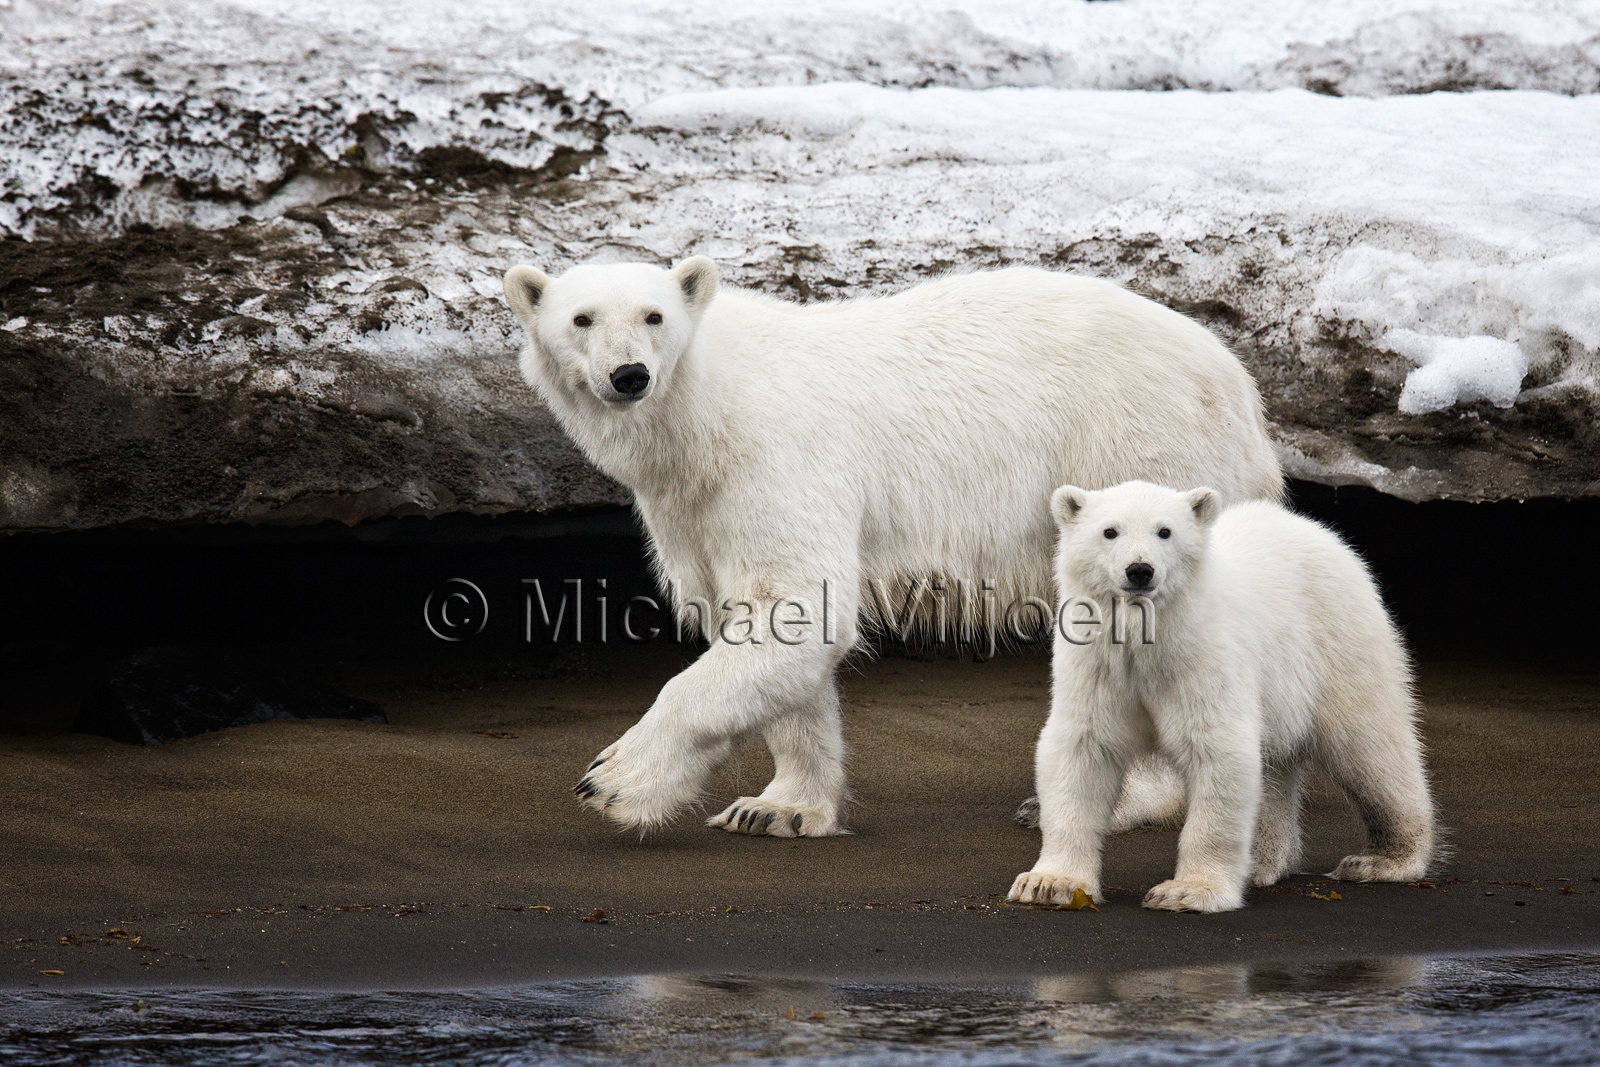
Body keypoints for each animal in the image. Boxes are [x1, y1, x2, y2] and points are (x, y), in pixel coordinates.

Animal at [501, 258, 1284, 837]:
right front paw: (777, 807)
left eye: (653, 316)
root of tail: (1242, 387)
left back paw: (1112, 801)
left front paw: (613, 779)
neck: (703, 409)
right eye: (581, 318)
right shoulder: (694, 504)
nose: (629, 375)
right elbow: (770, 622)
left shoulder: (775, 455)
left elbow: (798, 608)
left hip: (1143, 445)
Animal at [1008, 481, 1435, 913]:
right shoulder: (1097, 664)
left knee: (1370, 747)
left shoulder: (1202, 658)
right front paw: (1049, 883)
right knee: (1277, 768)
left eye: (1165, 531)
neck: (1148, 638)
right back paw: (1263, 862)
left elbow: (1216, 750)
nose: (1140, 570)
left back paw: (1382, 860)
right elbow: (1082, 751)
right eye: (1110, 531)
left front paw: (1188, 891)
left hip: (1339, 642)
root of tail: (1319, 531)